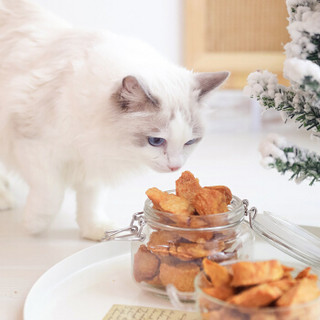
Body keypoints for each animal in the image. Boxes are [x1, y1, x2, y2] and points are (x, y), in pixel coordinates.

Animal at [0, 0, 230, 240]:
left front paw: (96, 230)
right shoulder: (33, 146)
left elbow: (90, 201)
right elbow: (51, 194)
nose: (175, 167)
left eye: (190, 142)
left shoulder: (95, 161)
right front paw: (34, 226)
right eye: (156, 141)